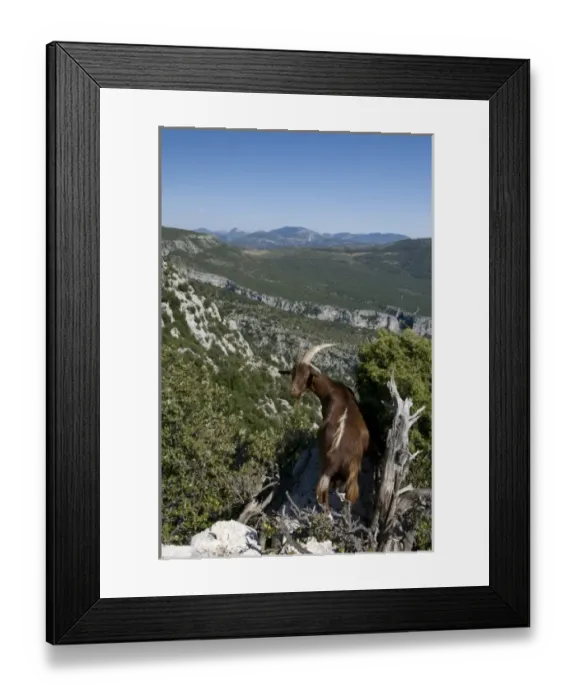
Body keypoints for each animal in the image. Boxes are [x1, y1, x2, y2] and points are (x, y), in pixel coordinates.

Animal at [280, 344, 369, 508]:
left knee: (323, 495)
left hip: (325, 467)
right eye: (293, 373)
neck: (333, 389)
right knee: (350, 495)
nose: (293, 392)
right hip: (353, 473)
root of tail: (335, 458)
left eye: (306, 375)